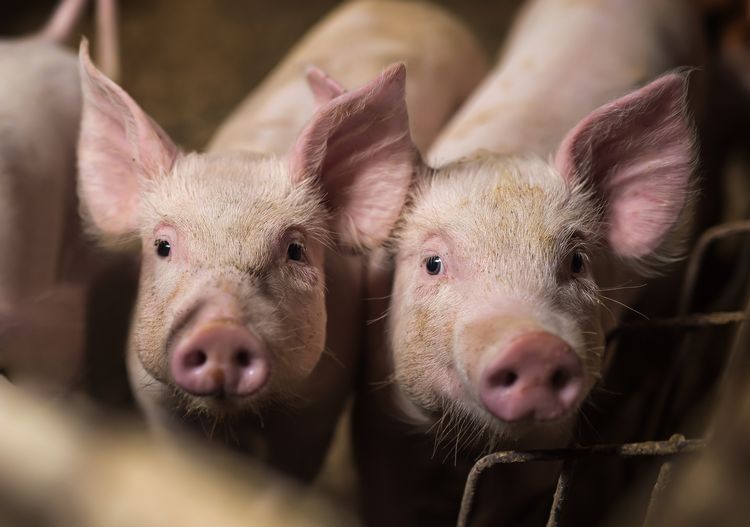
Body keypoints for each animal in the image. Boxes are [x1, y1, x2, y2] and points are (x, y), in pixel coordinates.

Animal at [76, 0, 487, 481]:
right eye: (162, 247)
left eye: (294, 250)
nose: (220, 331)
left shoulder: (318, 406)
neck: (241, 420)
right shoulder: (156, 401)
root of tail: (416, 9)